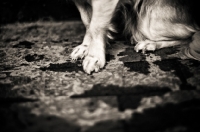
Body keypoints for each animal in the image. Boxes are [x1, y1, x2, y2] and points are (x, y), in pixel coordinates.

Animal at [70, 0, 200, 74]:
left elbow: (95, 26)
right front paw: (85, 47)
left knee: (191, 35)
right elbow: (87, 22)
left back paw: (150, 43)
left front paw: (94, 57)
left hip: (148, 22)